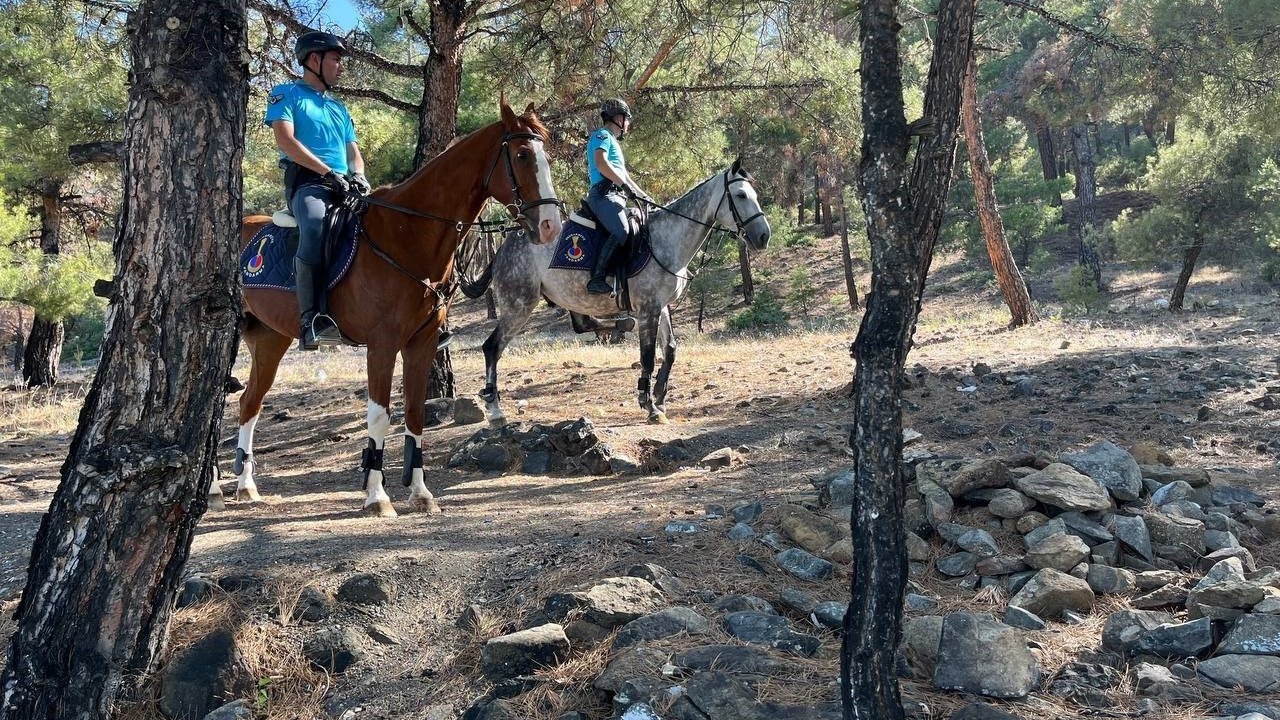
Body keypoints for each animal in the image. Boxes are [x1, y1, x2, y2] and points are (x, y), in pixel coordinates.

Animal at [215, 102, 560, 515]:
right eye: (522, 156)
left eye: (547, 157)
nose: (550, 225)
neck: (407, 235)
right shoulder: (382, 344)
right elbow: (380, 417)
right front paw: (377, 497)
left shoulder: (421, 343)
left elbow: (414, 413)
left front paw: (421, 493)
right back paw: (215, 490)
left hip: (271, 341)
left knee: (249, 403)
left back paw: (246, 486)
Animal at [473, 158, 762, 420]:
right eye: (740, 195)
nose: (763, 236)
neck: (665, 240)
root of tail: (502, 249)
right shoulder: (648, 309)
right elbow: (648, 356)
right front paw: (648, 404)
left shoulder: (660, 306)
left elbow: (669, 350)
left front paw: (659, 396)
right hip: (519, 306)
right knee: (492, 348)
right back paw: (495, 409)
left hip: (567, 297)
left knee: (582, 324)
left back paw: (622, 323)